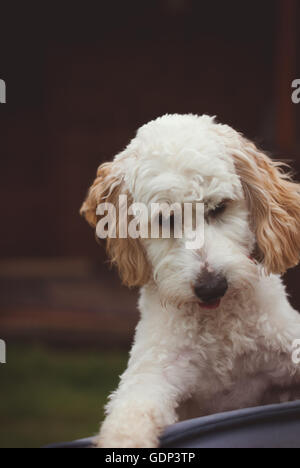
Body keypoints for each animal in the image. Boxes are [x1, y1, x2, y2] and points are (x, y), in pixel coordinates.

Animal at [81, 115, 300, 448]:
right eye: (164, 220)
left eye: (219, 207)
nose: (212, 286)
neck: (221, 328)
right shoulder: (150, 376)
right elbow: (128, 418)